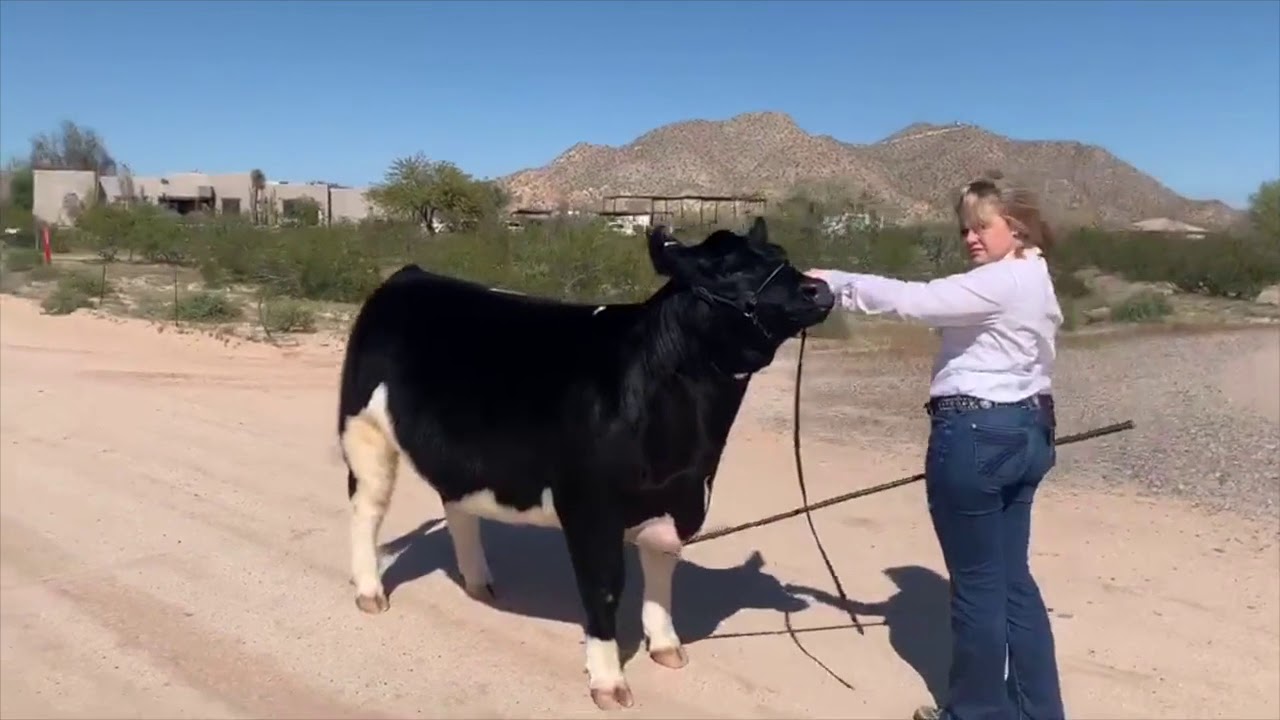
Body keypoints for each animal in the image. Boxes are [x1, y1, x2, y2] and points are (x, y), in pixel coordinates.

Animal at [336, 216, 835, 710]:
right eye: (727, 270)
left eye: (781, 256)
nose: (819, 289)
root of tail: (410, 275)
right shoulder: (591, 510)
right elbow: (604, 588)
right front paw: (608, 683)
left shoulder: (679, 500)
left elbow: (661, 573)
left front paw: (666, 646)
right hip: (364, 432)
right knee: (367, 511)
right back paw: (369, 591)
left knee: (456, 505)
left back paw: (478, 582)